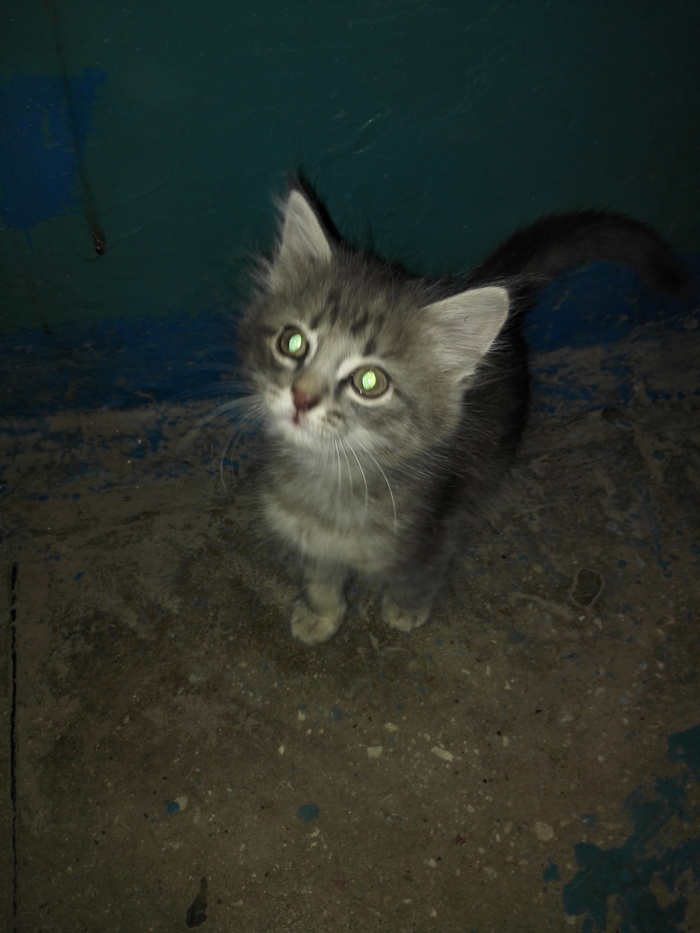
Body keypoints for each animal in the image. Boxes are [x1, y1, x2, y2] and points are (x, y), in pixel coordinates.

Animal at [237, 181, 689, 645]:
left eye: (369, 381)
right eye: (292, 343)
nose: (301, 397)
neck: (330, 476)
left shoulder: (434, 531)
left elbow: (418, 577)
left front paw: (405, 609)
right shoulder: (310, 541)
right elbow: (320, 580)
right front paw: (321, 615)